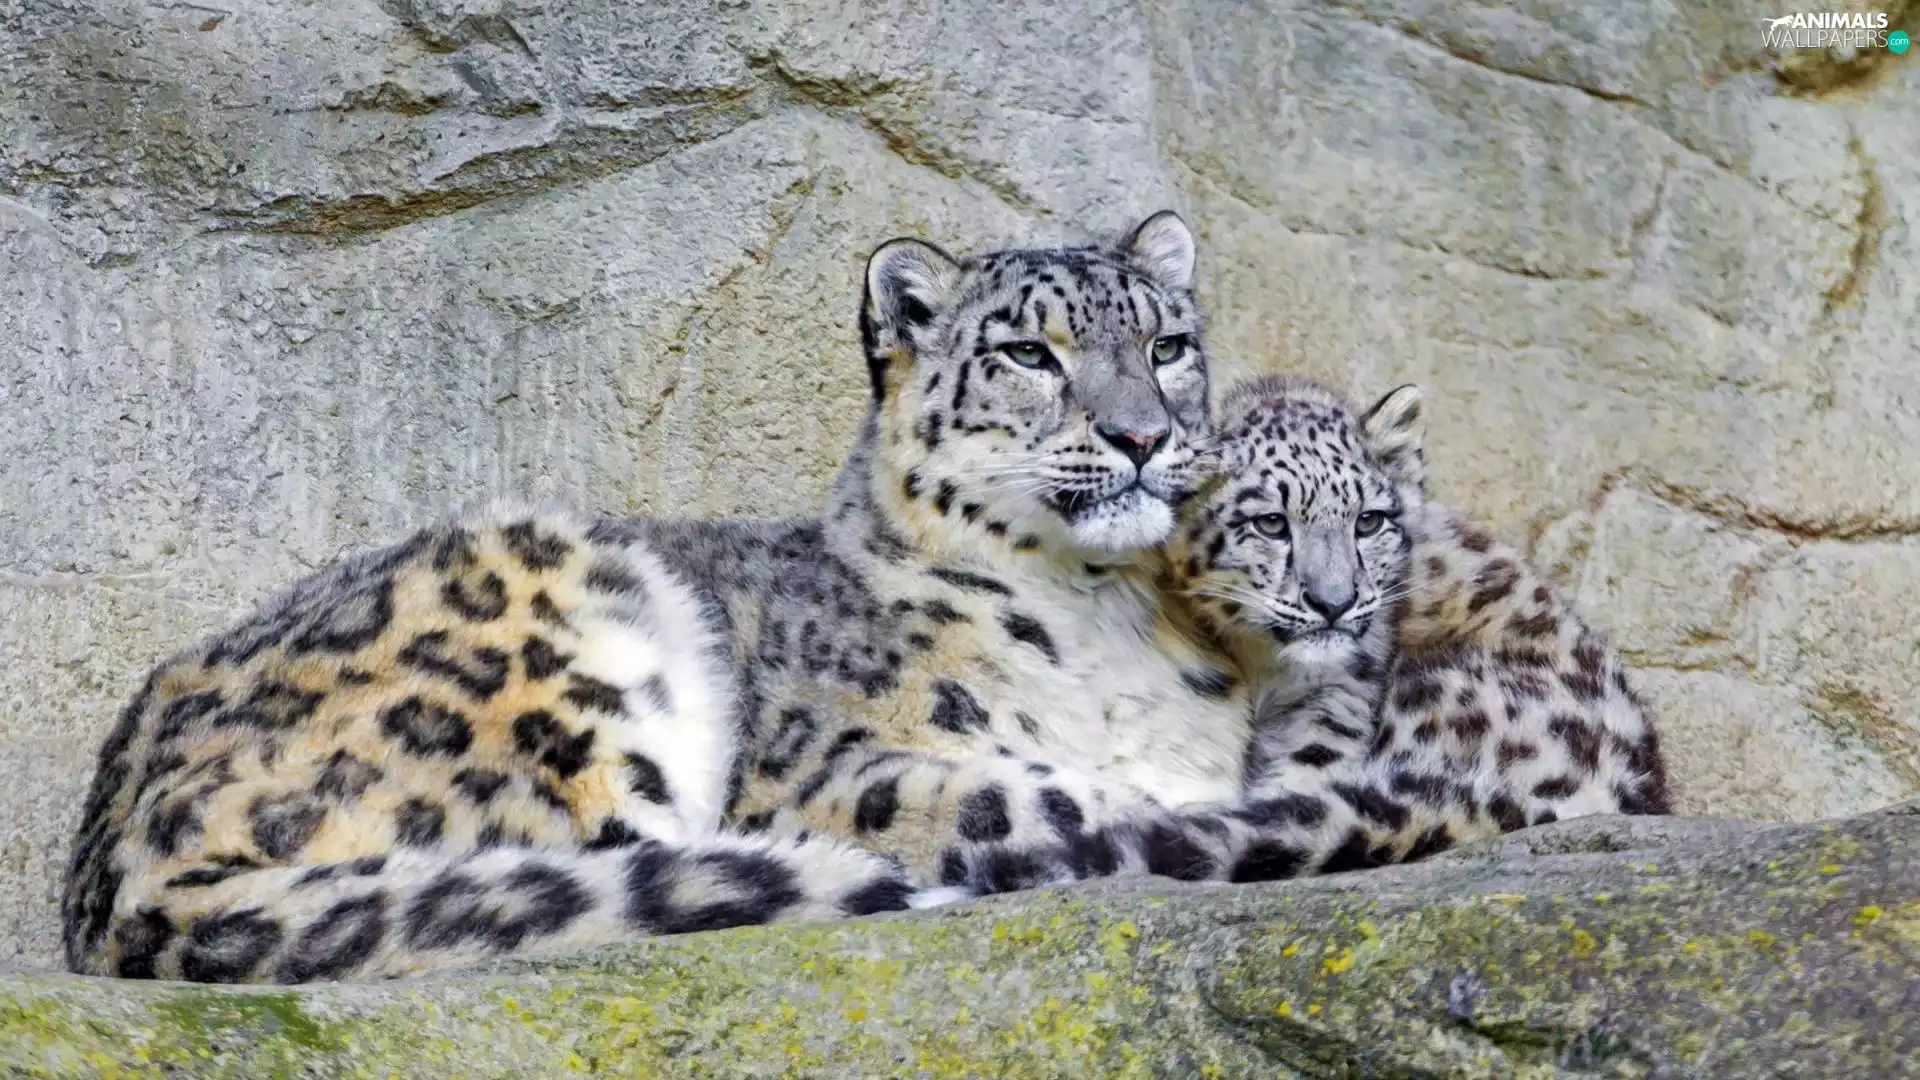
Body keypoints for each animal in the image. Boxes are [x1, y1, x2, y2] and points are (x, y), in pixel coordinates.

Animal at [62, 212, 1280, 983]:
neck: (1098, 616)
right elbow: (1029, 794)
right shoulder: (830, 767)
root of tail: (110, 876)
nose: (1141, 435)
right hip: (561, 648)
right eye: (1029, 351)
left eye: (1170, 344)